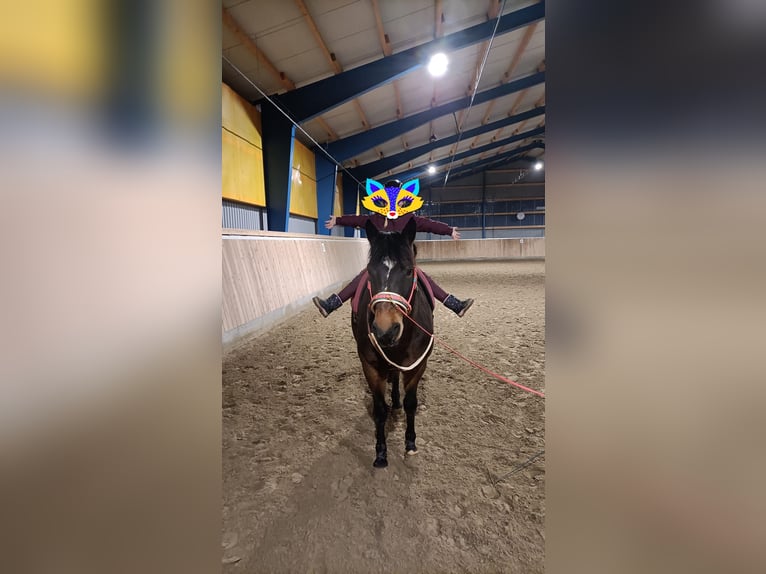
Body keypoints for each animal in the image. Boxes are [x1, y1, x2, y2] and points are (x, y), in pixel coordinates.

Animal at [351, 218, 435, 468]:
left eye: (408, 271)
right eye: (370, 271)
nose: (385, 331)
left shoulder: (417, 366)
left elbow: (411, 404)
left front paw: (410, 443)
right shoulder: (370, 366)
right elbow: (379, 410)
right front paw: (380, 453)